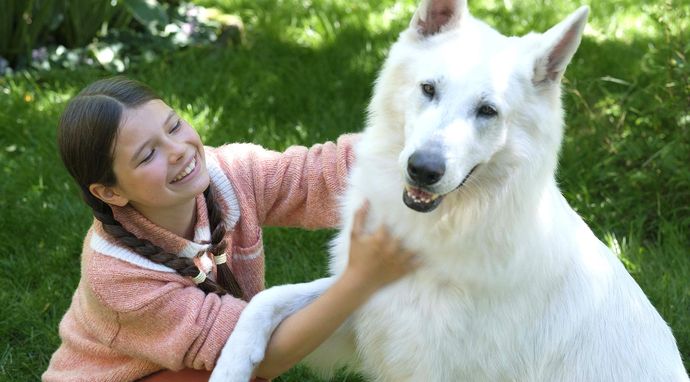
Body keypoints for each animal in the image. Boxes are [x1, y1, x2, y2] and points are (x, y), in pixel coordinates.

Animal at [212, 1, 684, 380]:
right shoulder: (361, 306)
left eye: (487, 111)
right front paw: (231, 363)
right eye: (428, 89)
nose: (423, 170)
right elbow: (269, 299)